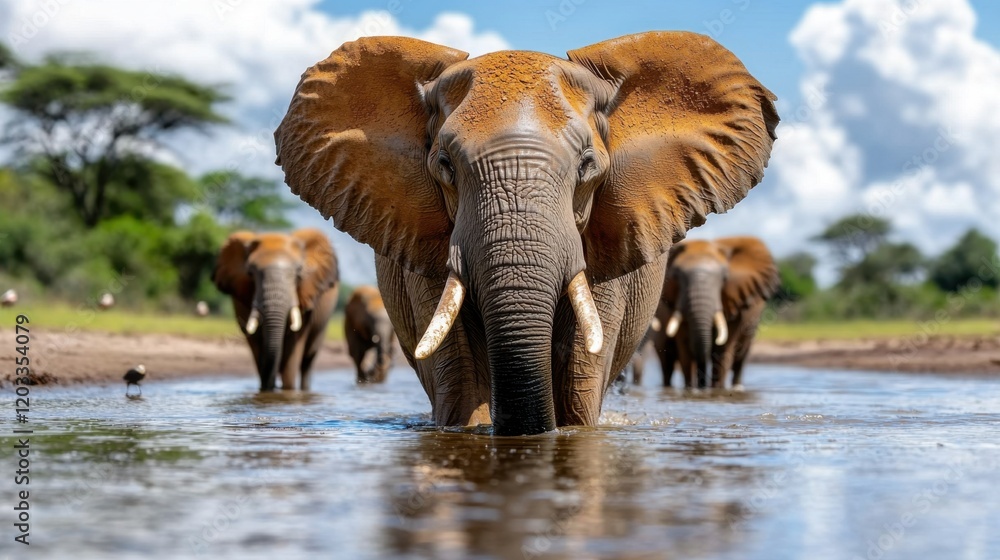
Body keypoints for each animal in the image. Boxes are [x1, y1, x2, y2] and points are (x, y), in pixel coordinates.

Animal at [212, 229, 340, 391]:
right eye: (251, 273)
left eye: (299, 272)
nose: (273, 385)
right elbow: (255, 340)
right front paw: (266, 389)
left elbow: (295, 342)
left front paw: (288, 390)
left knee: (308, 359)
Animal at [652, 236, 780, 389]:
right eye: (676, 276)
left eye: (724, 277)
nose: (701, 385)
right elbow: (685, 346)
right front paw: (690, 389)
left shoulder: (734, 301)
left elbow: (723, 348)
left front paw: (717, 389)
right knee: (666, 360)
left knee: (741, 356)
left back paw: (736, 387)